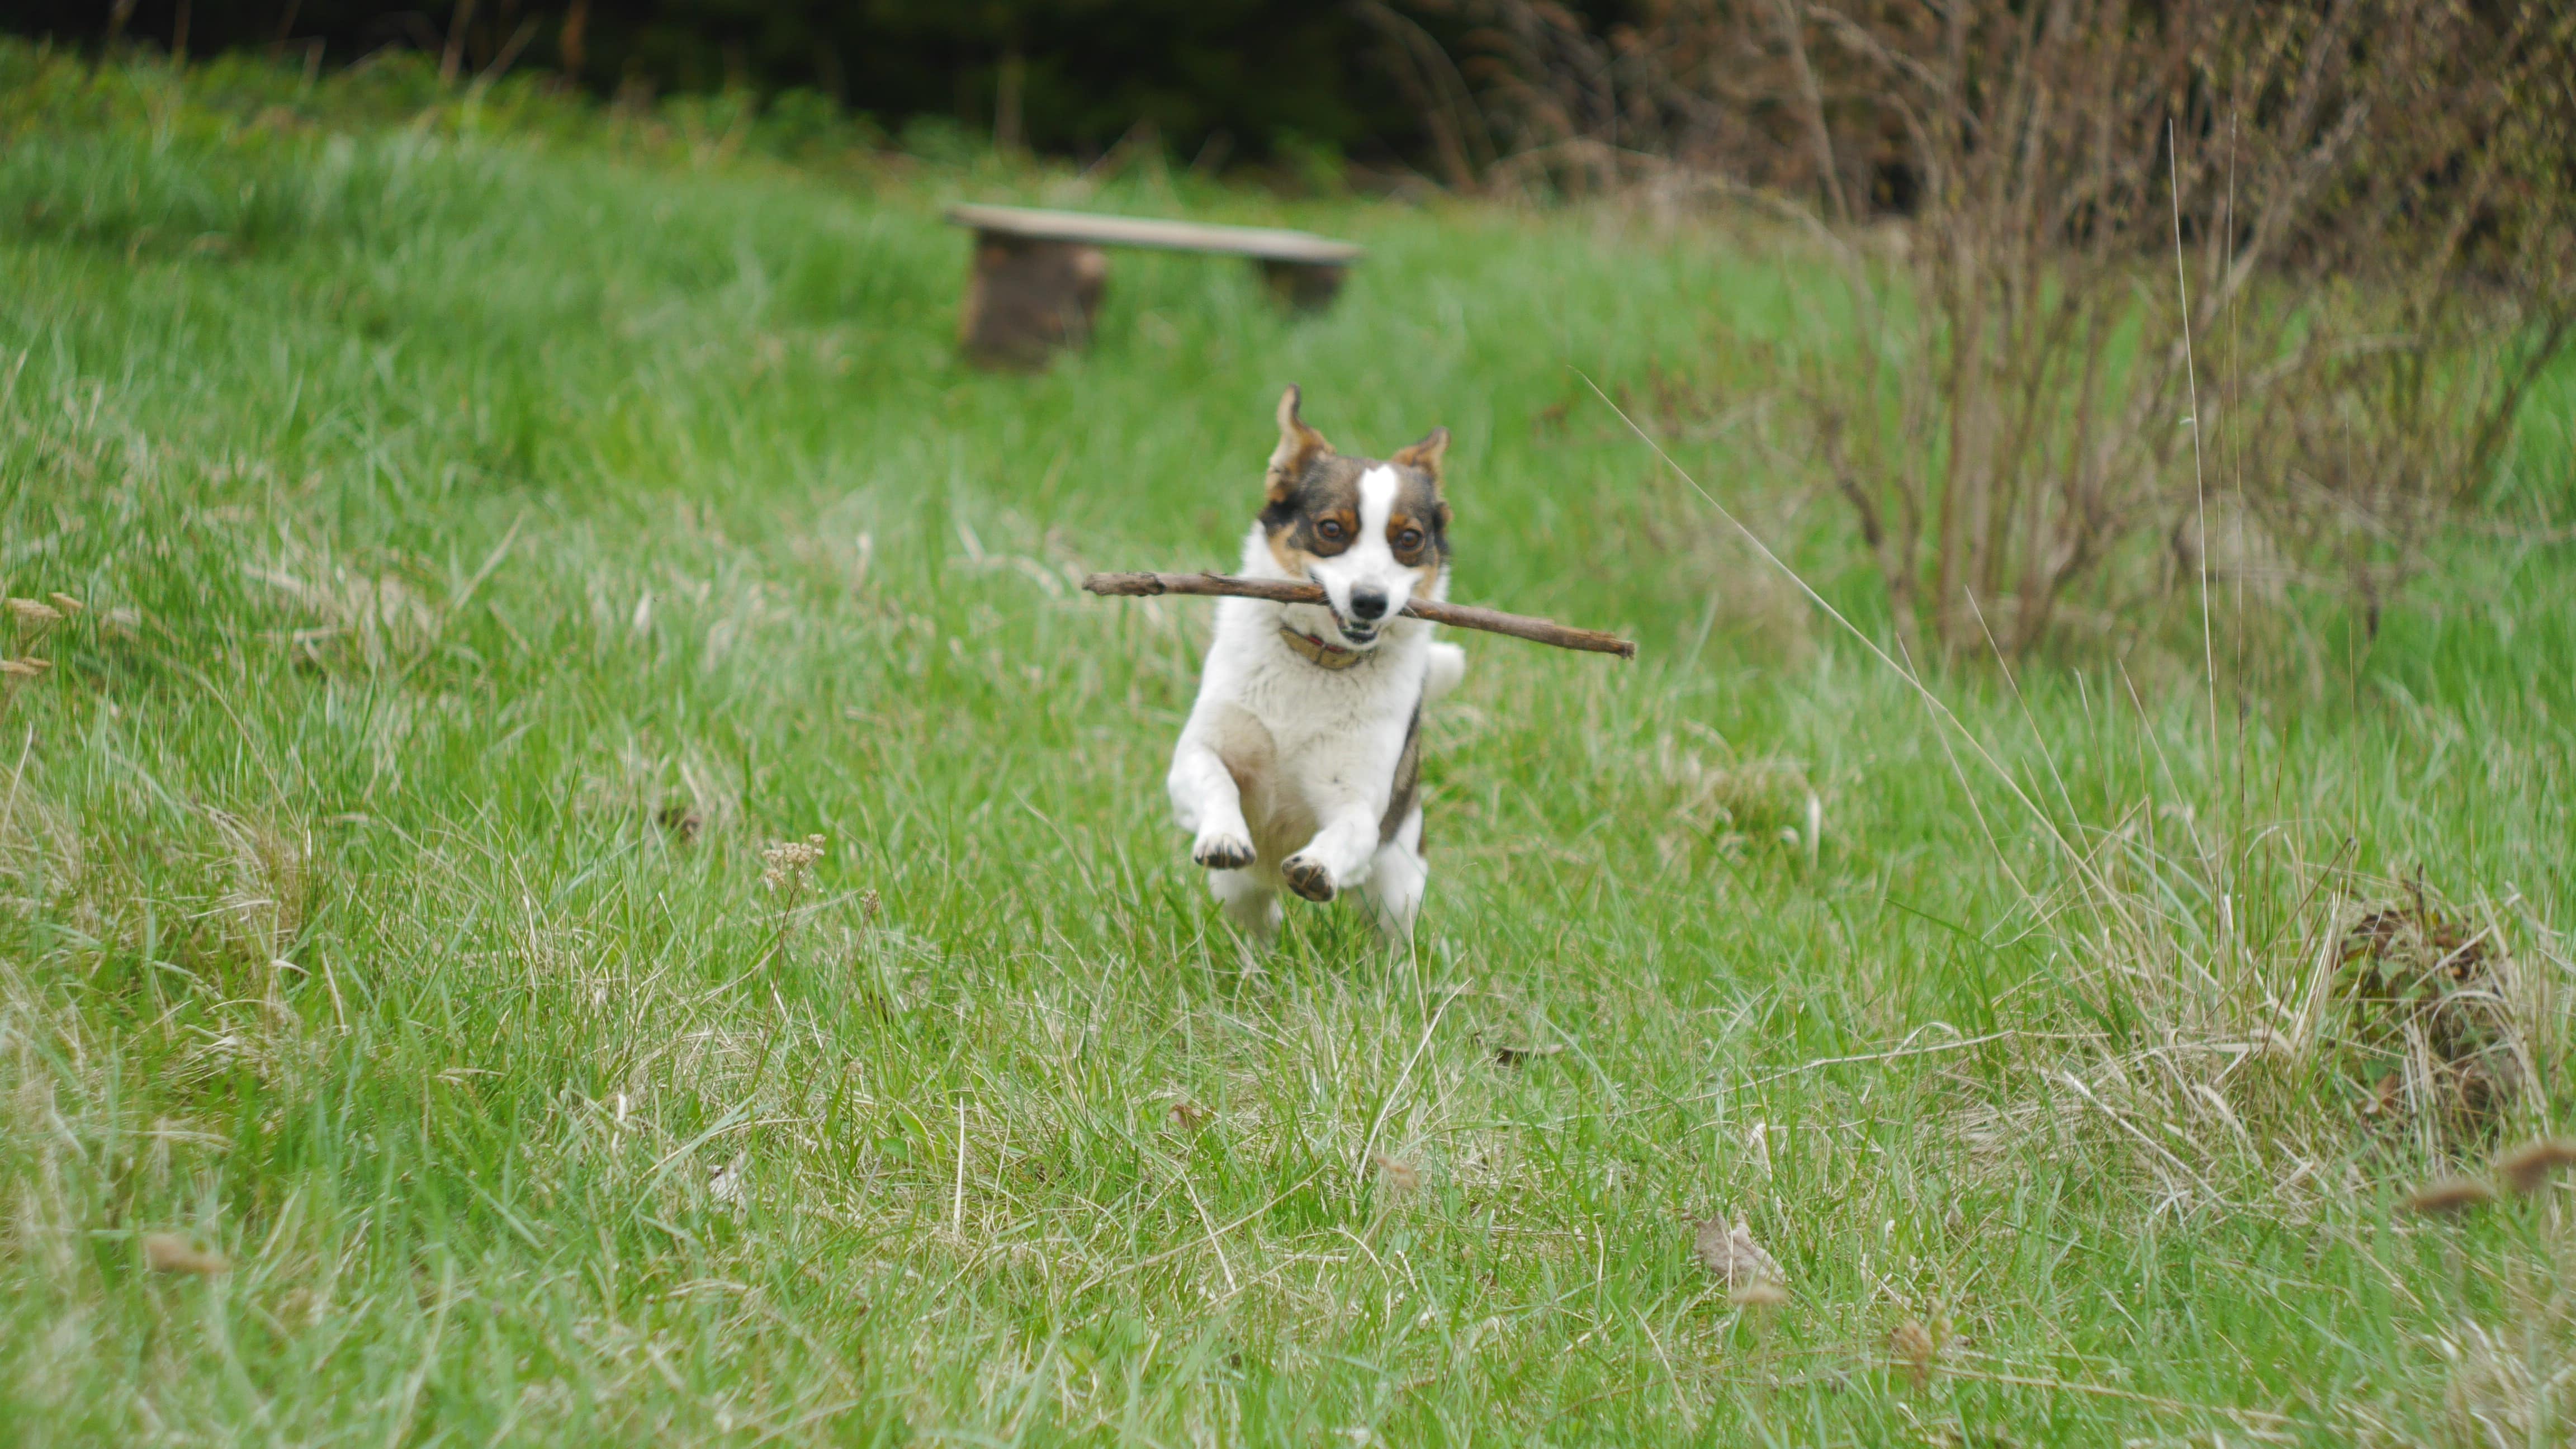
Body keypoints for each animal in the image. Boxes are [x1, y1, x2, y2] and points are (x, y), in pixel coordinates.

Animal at [1169, 384, 1473, 944]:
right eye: (1332, 529)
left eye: (1409, 539)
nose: (1370, 602)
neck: (1318, 661)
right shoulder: (1196, 756)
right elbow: (1214, 778)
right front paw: (1223, 833)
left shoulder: (1359, 800)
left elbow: (1349, 829)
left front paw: (1318, 866)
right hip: (1238, 892)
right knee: (1258, 921)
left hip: (1396, 887)